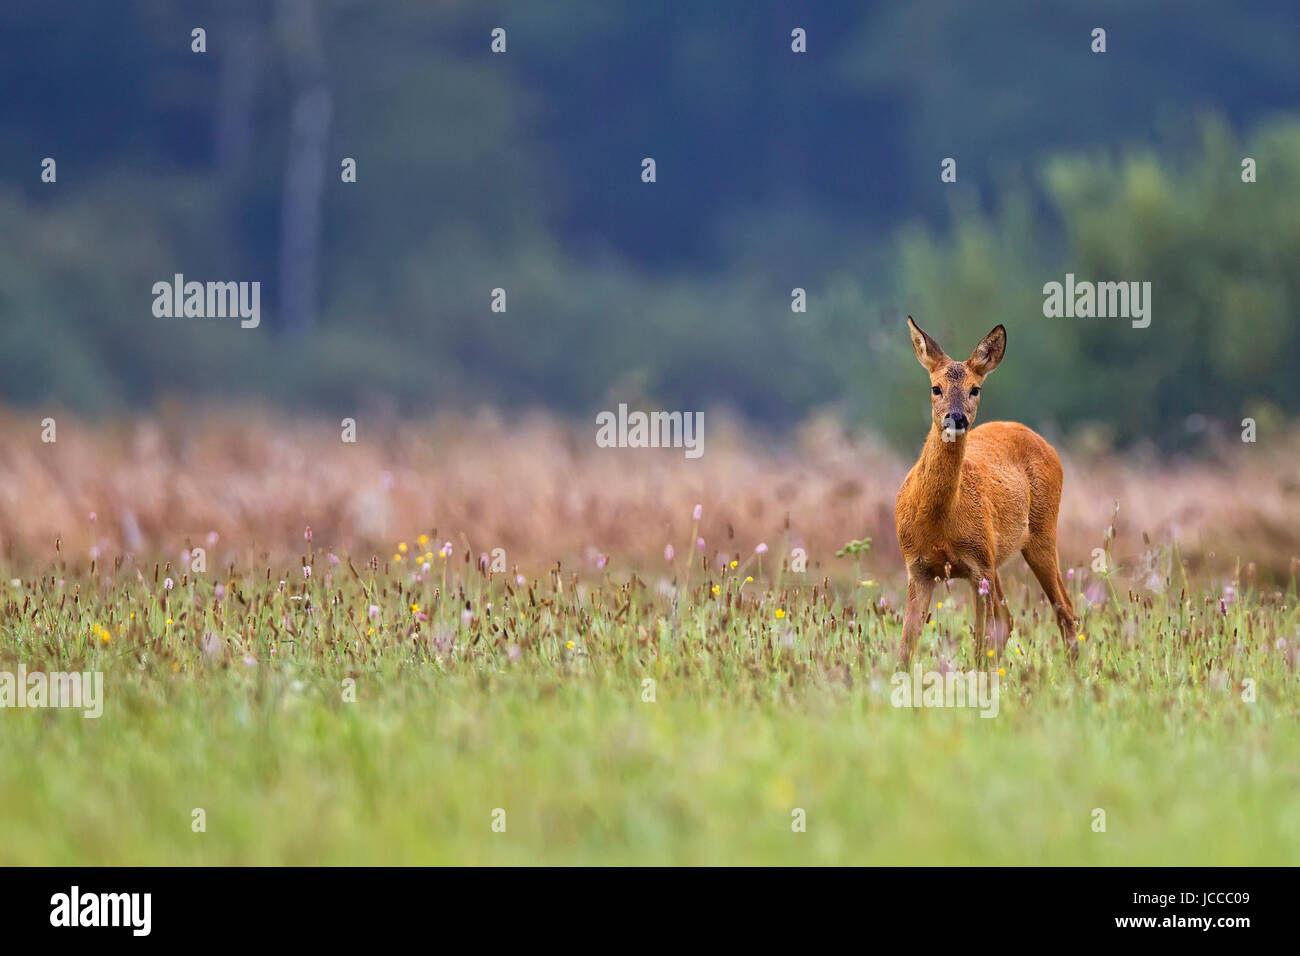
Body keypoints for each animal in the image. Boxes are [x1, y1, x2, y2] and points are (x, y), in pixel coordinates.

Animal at [894, 317, 1076, 660]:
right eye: (935, 388)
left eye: (975, 389)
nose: (956, 418)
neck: (938, 523)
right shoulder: (918, 567)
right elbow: (907, 645)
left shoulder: (978, 565)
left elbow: (980, 643)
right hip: (997, 558)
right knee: (1009, 620)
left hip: (1041, 533)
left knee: (1065, 610)